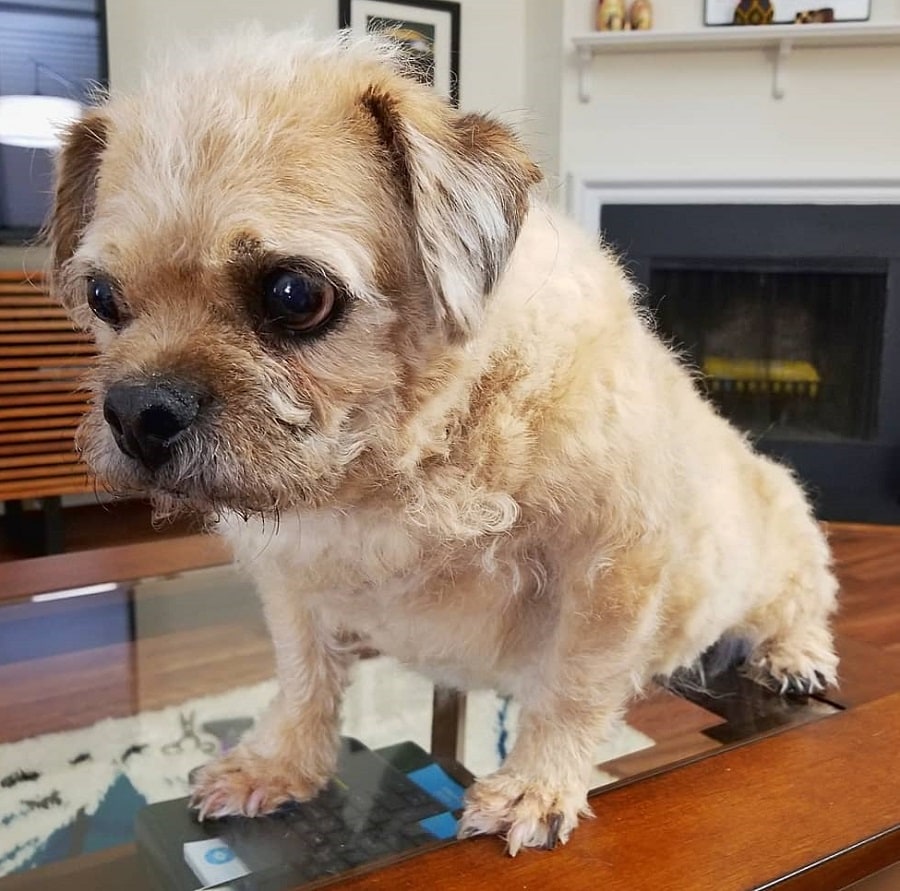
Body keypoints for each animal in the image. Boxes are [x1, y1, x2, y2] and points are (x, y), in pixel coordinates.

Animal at [47, 29, 836, 856]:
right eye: (102, 298)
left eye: (295, 294)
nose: (138, 410)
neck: (396, 464)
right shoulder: (293, 580)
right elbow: (302, 678)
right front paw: (277, 761)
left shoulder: (611, 570)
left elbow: (572, 688)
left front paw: (536, 783)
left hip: (781, 540)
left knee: (801, 602)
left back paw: (796, 654)